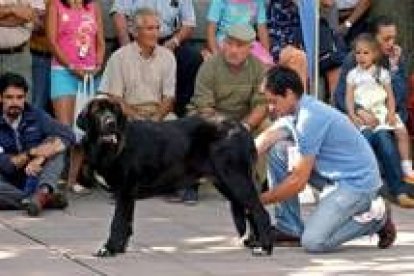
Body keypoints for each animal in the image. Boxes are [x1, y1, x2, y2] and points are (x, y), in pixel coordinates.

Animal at [77, 97, 274, 256]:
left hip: (235, 179)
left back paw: (264, 248)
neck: (108, 147)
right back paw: (254, 243)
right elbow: (126, 224)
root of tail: (241, 128)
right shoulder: (127, 196)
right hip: (227, 183)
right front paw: (119, 249)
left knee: (260, 211)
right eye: (98, 111)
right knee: (250, 210)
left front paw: (108, 249)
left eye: (114, 111)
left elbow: (117, 223)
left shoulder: (124, 192)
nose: (110, 122)